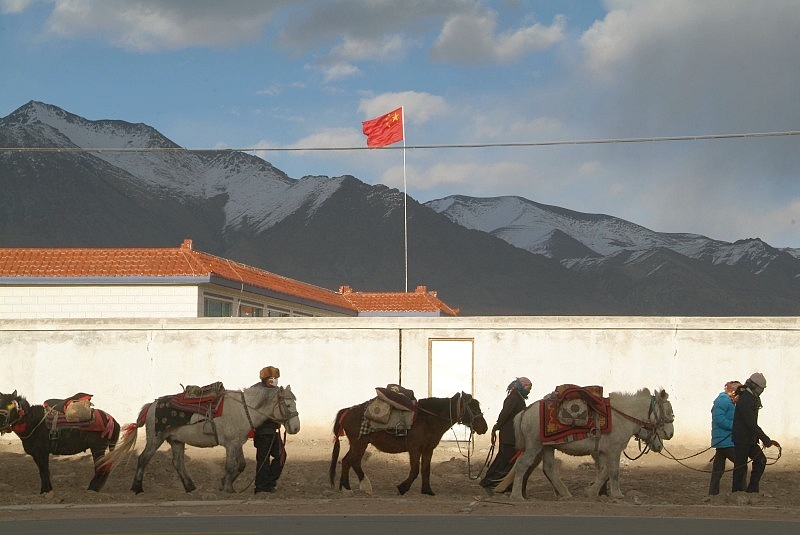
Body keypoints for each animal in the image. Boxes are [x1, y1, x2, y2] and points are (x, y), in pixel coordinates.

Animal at [100, 386, 300, 494]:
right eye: (288, 404)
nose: (296, 428)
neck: (244, 409)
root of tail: (152, 405)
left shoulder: (237, 443)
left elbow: (241, 465)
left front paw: (224, 483)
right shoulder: (231, 444)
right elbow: (230, 466)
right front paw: (228, 488)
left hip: (176, 441)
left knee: (178, 463)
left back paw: (190, 487)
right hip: (155, 438)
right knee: (143, 458)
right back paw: (137, 488)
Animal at [330, 392, 488, 496]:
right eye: (473, 408)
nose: (484, 428)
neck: (428, 419)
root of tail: (347, 411)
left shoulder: (428, 449)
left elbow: (426, 469)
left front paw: (427, 490)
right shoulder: (415, 449)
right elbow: (415, 470)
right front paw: (402, 487)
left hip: (357, 444)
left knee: (347, 461)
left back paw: (346, 487)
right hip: (359, 444)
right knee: (352, 461)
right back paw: (358, 487)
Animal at [494, 388, 676, 500]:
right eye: (668, 411)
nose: (670, 434)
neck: (622, 415)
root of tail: (525, 411)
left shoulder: (601, 452)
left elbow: (604, 471)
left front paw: (591, 492)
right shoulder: (613, 450)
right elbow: (613, 472)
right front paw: (617, 494)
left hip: (547, 446)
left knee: (549, 469)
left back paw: (565, 493)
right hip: (534, 446)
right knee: (522, 465)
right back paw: (517, 496)